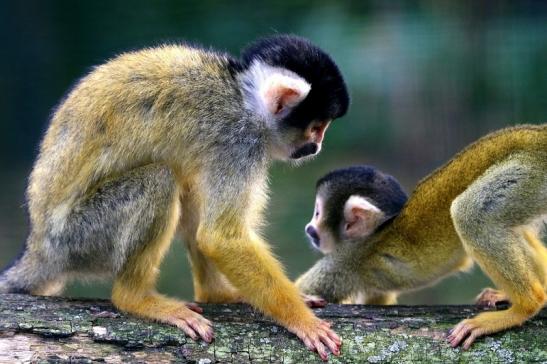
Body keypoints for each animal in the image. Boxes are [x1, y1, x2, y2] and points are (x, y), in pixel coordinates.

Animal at [0, 34, 348, 362]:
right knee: (160, 180)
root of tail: (39, 246)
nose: (317, 146)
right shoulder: (239, 143)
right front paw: (303, 320)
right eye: (316, 127)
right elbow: (221, 237)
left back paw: (214, 293)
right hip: (79, 238)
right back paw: (135, 298)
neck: (243, 99)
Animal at [300, 125, 547, 350]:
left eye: (317, 213)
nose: (309, 229)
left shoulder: (347, 260)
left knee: (472, 212)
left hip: (529, 174)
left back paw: (526, 305)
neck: (379, 229)